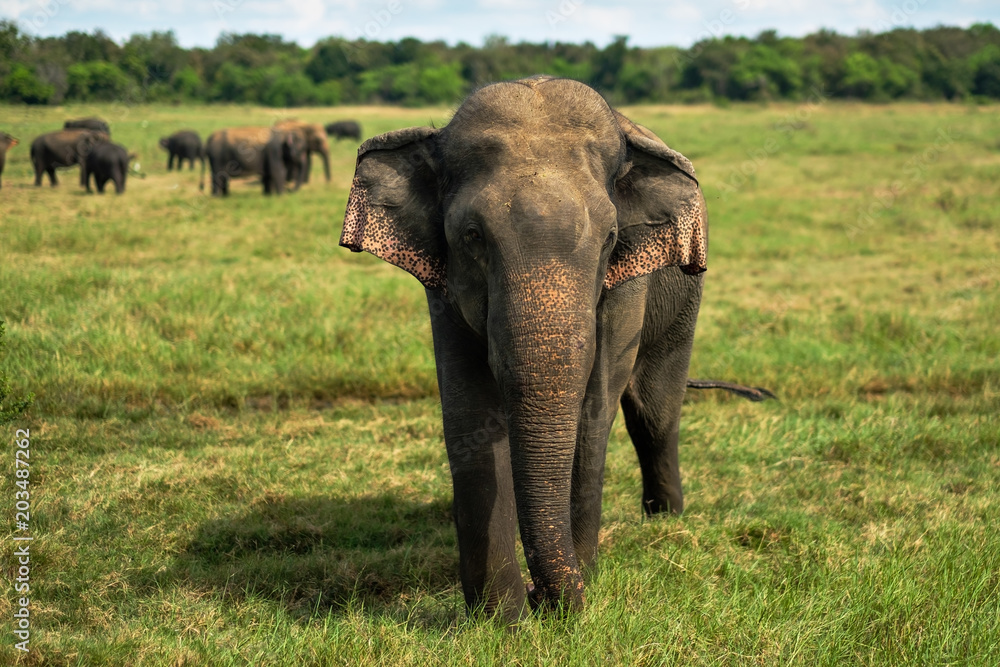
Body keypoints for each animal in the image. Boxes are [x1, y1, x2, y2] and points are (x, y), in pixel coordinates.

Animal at [341, 75, 720, 622]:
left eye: (610, 238)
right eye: (472, 236)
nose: (542, 597)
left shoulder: (627, 282)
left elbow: (595, 410)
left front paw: (576, 588)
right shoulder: (444, 283)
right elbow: (469, 411)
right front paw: (502, 621)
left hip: (685, 300)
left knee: (653, 412)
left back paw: (666, 521)